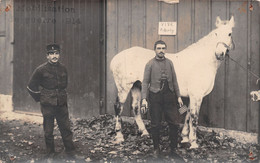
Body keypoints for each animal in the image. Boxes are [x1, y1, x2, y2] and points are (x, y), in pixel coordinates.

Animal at [110, 16, 236, 149]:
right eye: (216, 33)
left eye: (229, 33)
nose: (219, 54)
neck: (201, 61)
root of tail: (116, 58)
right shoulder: (196, 95)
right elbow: (194, 118)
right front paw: (194, 143)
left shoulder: (192, 96)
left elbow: (187, 116)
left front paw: (185, 138)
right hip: (124, 88)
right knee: (118, 107)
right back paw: (119, 136)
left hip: (137, 86)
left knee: (135, 107)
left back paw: (144, 132)